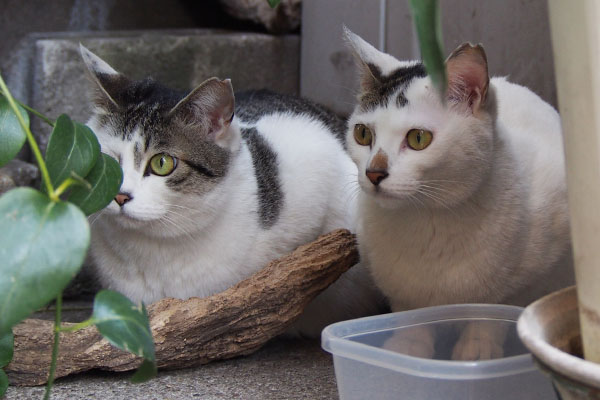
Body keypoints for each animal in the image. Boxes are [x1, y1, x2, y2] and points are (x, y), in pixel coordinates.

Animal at [342, 29, 572, 356]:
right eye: (362, 134)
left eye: (419, 138)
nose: (374, 173)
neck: (427, 222)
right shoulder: (399, 289)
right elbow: (412, 315)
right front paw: (409, 345)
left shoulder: (524, 285)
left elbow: (493, 312)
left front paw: (478, 349)